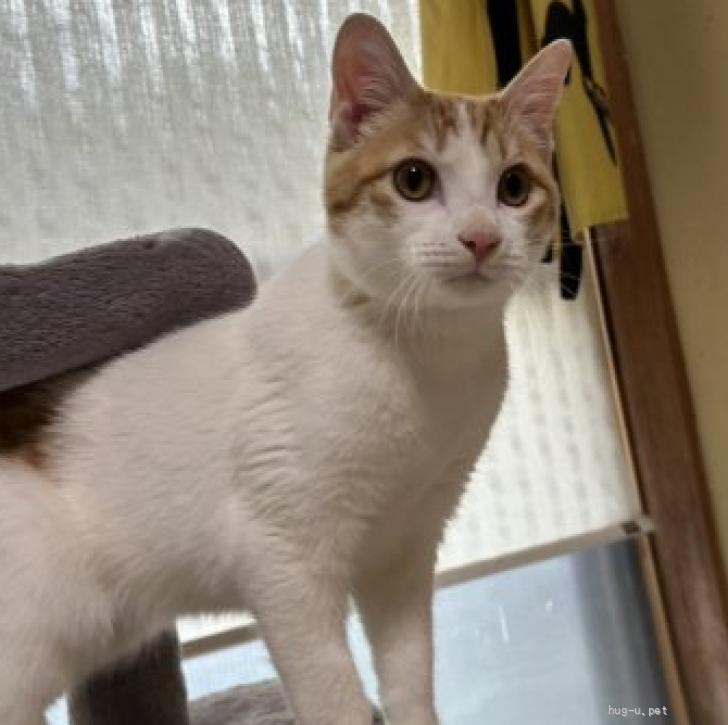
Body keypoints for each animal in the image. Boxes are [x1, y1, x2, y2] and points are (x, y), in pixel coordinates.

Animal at [0, 14, 571, 725]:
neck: (423, 360)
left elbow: (410, 679)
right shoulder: (284, 556)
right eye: (413, 179)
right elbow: (333, 695)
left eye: (514, 187)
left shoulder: (406, 550)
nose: (481, 237)